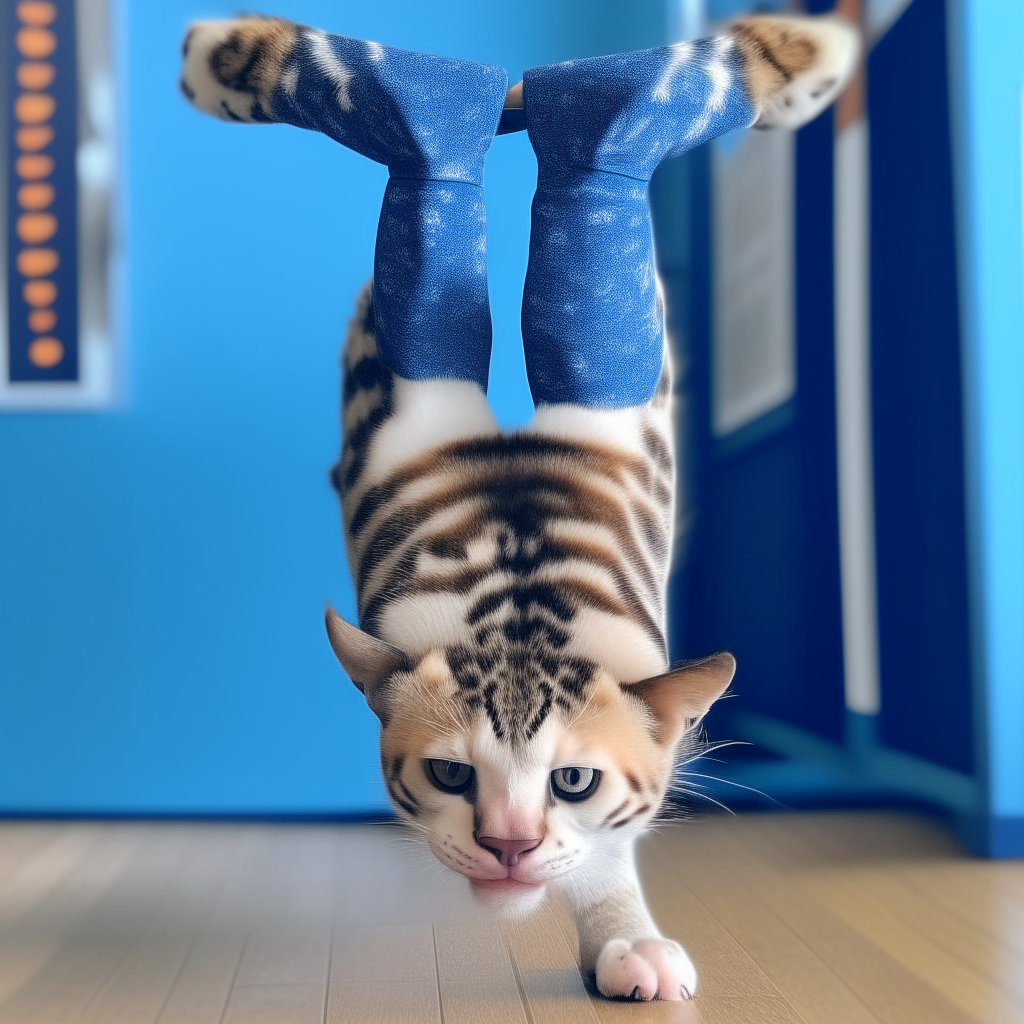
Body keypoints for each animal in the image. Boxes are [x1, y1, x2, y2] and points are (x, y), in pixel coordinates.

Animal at [182, 12, 856, 995]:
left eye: (572, 783)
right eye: (452, 778)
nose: (508, 845)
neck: (515, 623)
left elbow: (603, 855)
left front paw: (624, 936)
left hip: (578, 387)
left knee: (562, 193)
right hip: (435, 391)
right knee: (459, 196)